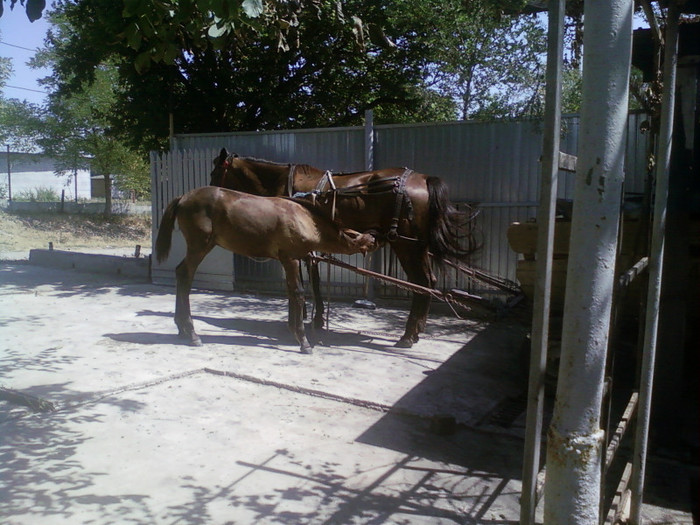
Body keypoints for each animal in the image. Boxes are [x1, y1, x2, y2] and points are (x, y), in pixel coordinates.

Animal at [154, 184, 378, 352]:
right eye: (366, 239)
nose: (376, 239)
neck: (304, 219)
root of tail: (183, 197)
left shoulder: (288, 260)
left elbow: (290, 291)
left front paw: (293, 333)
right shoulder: (291, 259)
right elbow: (298, 293)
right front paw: (304, 341)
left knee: (181, 274)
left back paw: (182, 329)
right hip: (200, 246)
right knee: (185, 275)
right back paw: (191, 333)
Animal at [209, 150, 476, 348]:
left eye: (215, 171)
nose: (210, 189)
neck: (285, 184)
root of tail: (422, 179)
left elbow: (306, 282)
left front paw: (304, 318)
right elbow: (313, 281)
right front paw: (312, 318)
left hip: (406, 245)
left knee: (422, 283)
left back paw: (408, 336)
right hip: (417, 247)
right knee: (428, 282)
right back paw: (416, 331)